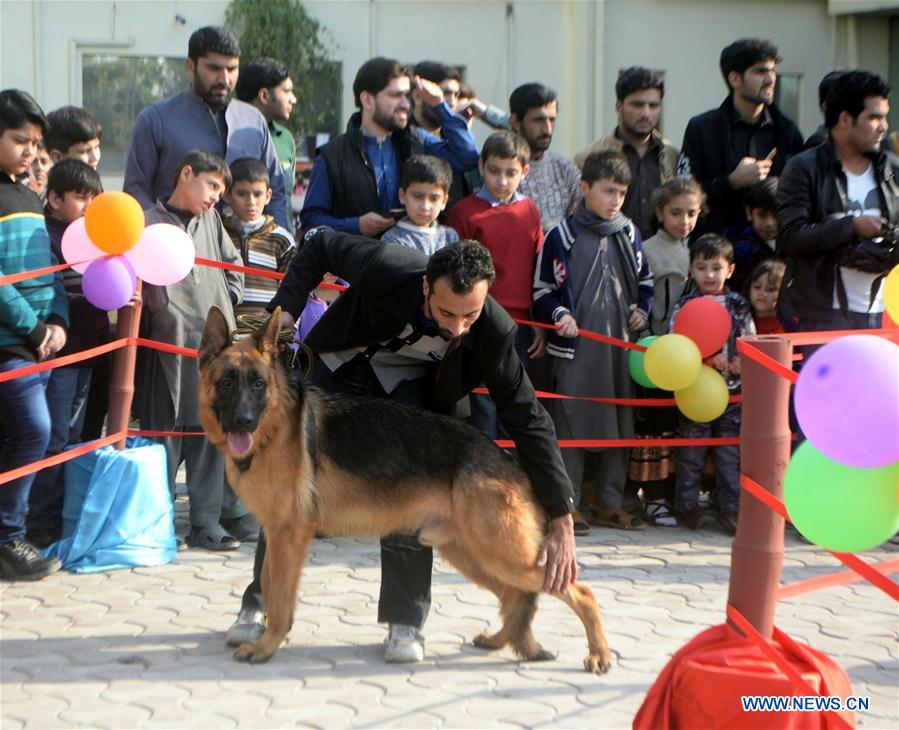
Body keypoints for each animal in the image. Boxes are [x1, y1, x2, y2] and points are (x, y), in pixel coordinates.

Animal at [199, 302, 612, 672]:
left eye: (258, 384)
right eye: (226, 383)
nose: (243, 421)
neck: (275, 427)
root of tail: (507, 458)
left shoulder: (288, 536)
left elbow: (280, 598)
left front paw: (267, 646)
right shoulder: (275, 534)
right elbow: (268, 586)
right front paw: (266, 634)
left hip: (500, 554)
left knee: (582, 594)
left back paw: (598, 655)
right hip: (471, 555)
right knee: (517, 595)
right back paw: (500, 641)